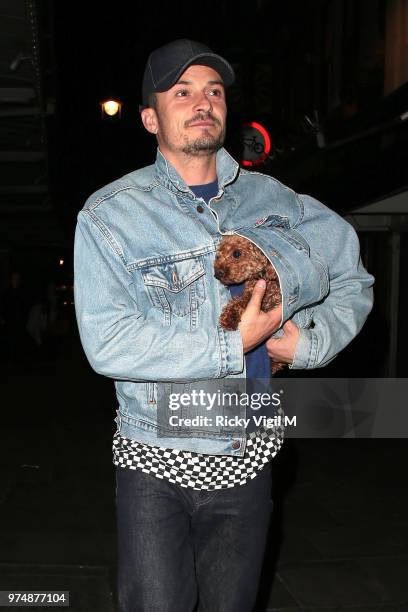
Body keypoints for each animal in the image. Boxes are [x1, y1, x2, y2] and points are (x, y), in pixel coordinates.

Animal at [214, 237, 284, 376]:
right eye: (219, 254)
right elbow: (238, 302)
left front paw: (229, 319)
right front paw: (229, 317)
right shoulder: (250, 292)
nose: (217, 273)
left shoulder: (274, 298)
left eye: (237, 254)